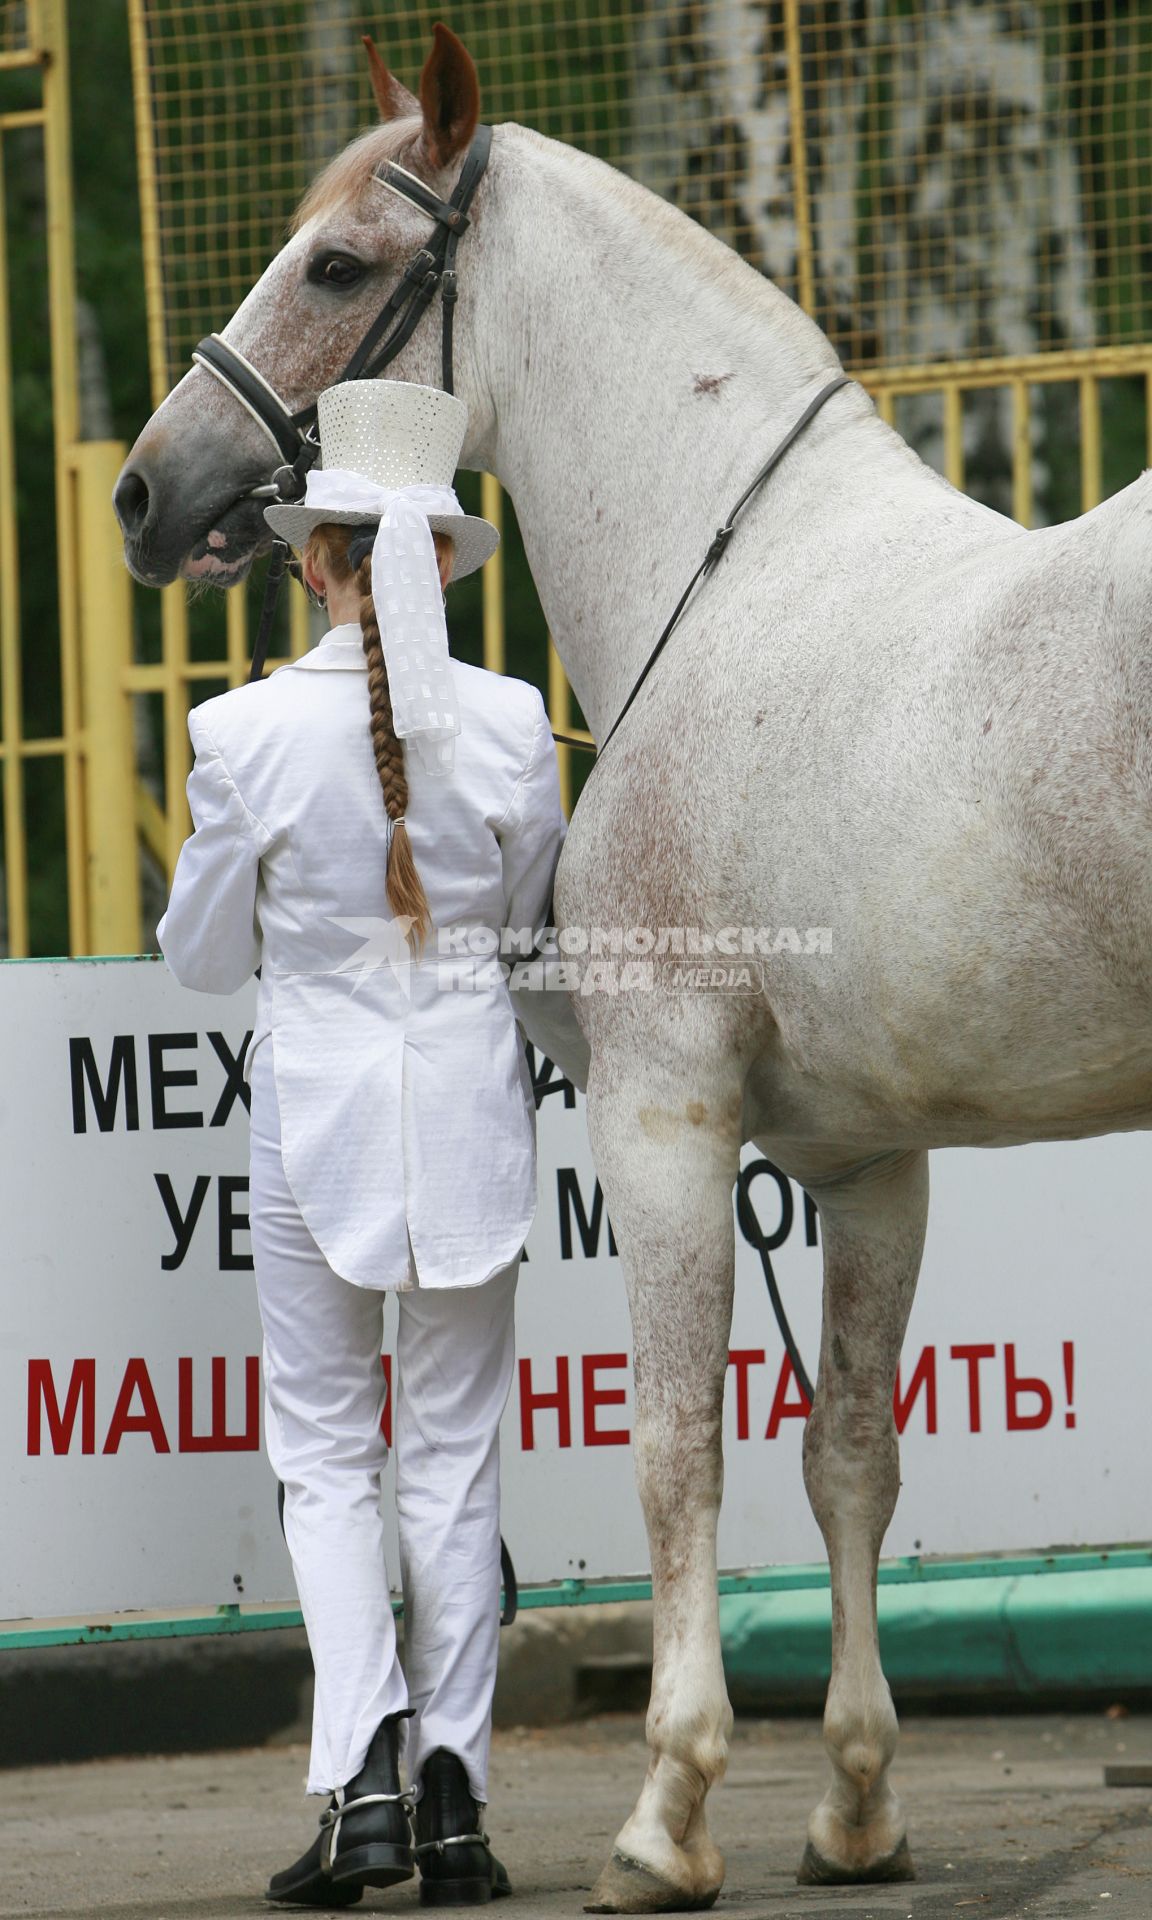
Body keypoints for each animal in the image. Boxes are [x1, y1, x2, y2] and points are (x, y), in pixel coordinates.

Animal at [114, 22, 1152, 1912]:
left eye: (339, 265)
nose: (152, 490)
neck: (729, 579)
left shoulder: (667, 1116)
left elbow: (679, 1449)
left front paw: (667, 1813)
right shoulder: (868, 1161)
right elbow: (848, 1454)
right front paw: (853, 1807)